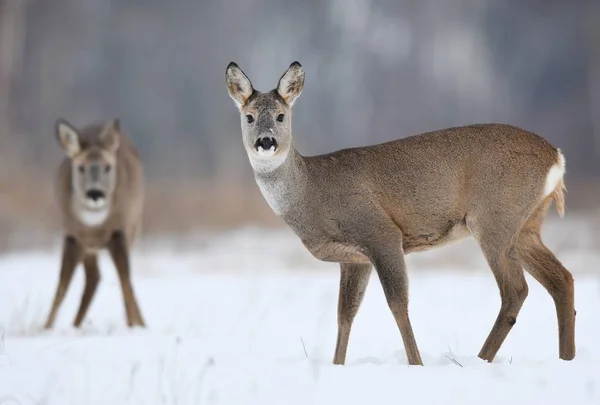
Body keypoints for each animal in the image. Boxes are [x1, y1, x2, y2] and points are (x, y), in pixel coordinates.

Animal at [44, 117, 146, 328]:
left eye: (108, 167)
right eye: (81, 167)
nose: (95, 193)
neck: (93, 225)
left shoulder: (119, 231)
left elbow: (126, 281)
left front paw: (140, 326)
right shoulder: (72, 235)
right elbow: (61, 287)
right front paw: (45, 328)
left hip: (134, 226)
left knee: (113, 278)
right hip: (88, 246)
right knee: (94, 276)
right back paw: (75, 325)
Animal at [225, 60, 576, 366]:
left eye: (281, 116)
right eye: (249, 117)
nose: (266, 142)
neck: (313, 193)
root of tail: (556, 156)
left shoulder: (381, 233)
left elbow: (397, 303)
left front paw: (415, 363)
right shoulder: (354, 257)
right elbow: (345, 313)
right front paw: (337, 365)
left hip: (494, 218)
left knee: (515, 290)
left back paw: (481, 359)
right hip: (526, 225)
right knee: (562, 279)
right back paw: (566, 358)